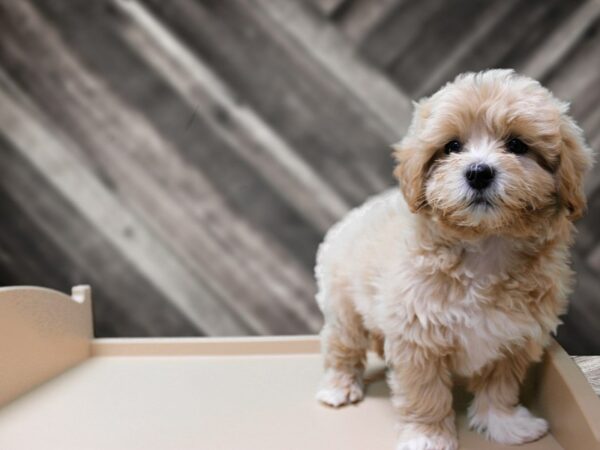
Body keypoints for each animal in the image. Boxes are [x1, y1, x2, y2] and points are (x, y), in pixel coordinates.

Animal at [314, 70, 592, 450]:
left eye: (517, 145)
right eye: (452, 147)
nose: (478, 172)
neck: (486, 247)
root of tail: (356, 213)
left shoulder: (514, 337)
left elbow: (500, 386)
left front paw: (504, 424)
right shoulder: (417, 337)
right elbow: (425, 393)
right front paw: (428, 435)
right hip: (344, 304)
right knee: (342, 344)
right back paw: (338, 386)